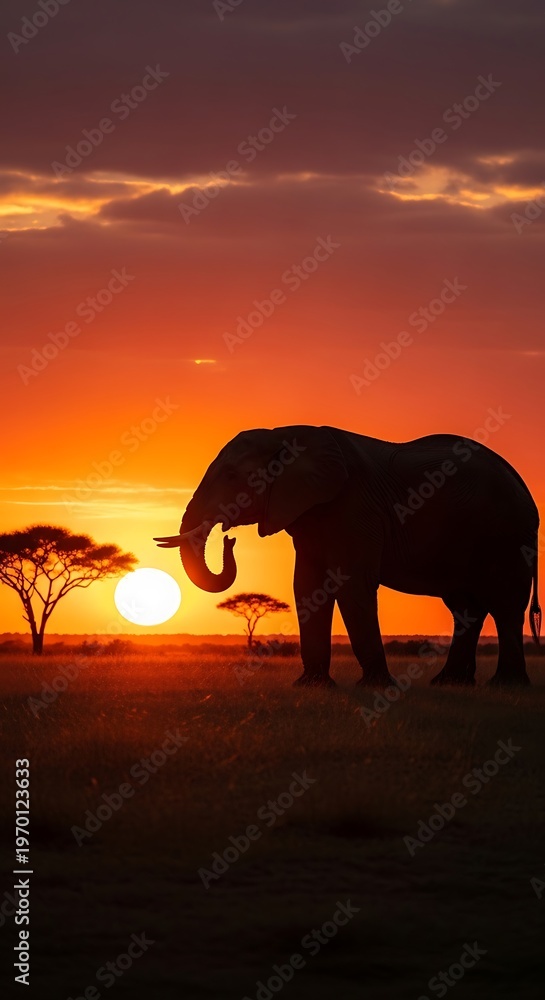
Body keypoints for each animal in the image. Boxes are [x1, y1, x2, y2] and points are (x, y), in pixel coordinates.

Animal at [155, 425, 540, 687]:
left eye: (233, 476)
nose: (228, 538)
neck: (287, 435)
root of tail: (521, 483)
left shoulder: (356, 508)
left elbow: (352, 585)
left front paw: (374, 688)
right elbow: (307, 587)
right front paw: (311, 687)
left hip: (508, 533)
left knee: (505, 605)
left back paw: (505, 685)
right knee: (465, 607)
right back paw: (450, 683)